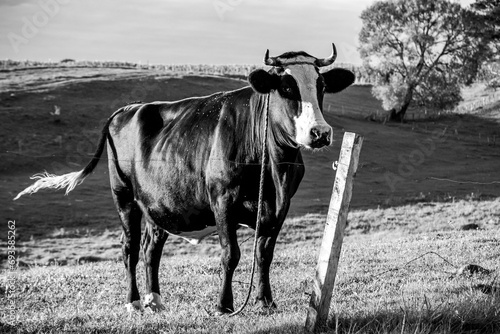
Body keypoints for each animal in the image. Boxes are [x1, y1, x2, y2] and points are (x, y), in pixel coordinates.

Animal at [13, 43, 354, 314]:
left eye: (321, 86)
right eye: (286, 87)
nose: (320, 133)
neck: (273, 169)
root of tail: (127, 109)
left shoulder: (279, 207)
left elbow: (264, 254)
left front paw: (265, 302)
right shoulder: (223, 200)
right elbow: (231, 254)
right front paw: (224, 305)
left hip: (157, 202)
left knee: (151, 248)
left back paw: (155, 300)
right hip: (123, 195)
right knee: (129, 247)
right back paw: (133, 302)